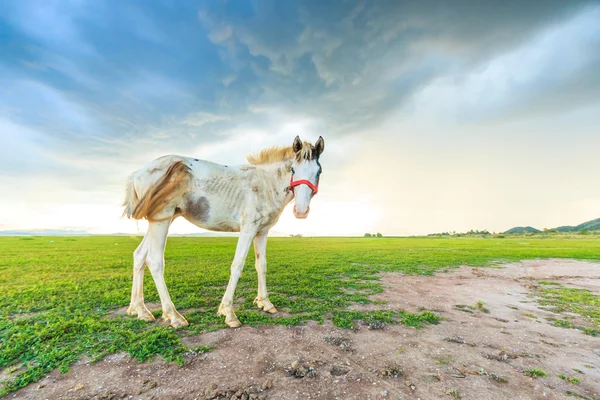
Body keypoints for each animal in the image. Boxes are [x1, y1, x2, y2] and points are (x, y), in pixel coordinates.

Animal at [120, 136, 324, 326]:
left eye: (318, 172)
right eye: (293, 170)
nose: (301, 211)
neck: (265, 184)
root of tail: (138, 173)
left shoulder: (262, 232)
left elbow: (262, 265)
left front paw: (265, 303)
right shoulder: (248, 228)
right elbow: (237, 265)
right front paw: (228, 312)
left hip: (160, 221)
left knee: (139, 256)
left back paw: (140, 310)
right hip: (161, 220)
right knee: (154, 261)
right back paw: (174, 316)